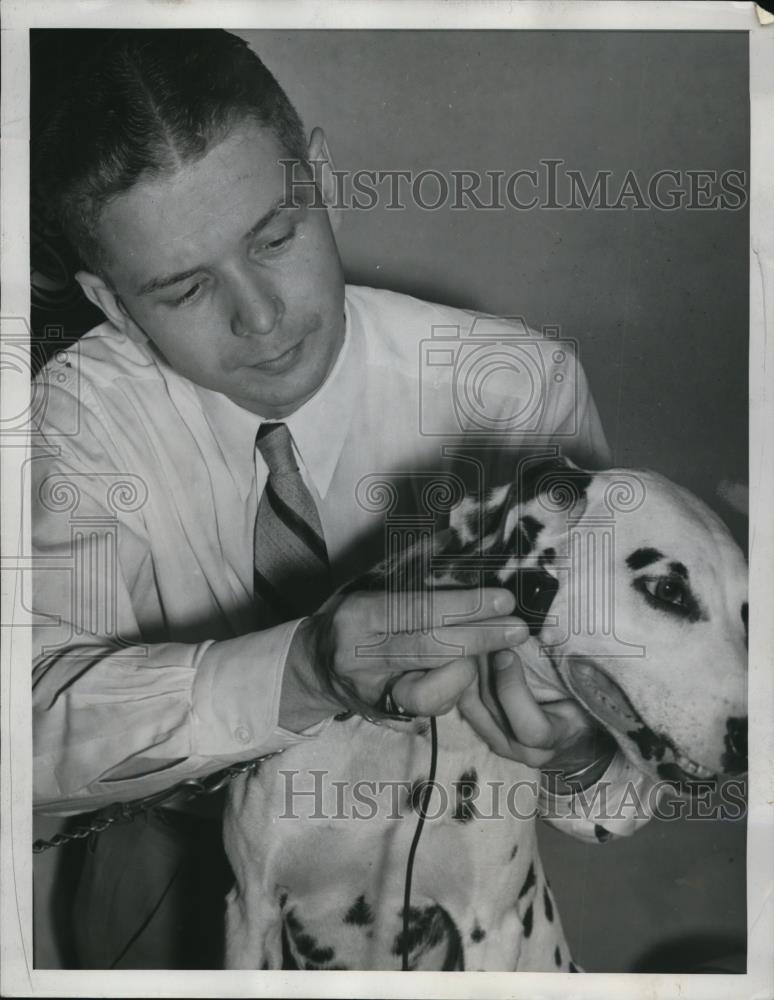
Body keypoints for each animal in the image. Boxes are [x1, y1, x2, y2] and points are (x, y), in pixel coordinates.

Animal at [221, 458, 748, 972]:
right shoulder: (251, 913)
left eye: (748, 612)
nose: (747, 742)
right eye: (667, 589)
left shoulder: (489, 930)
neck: (410, 744)